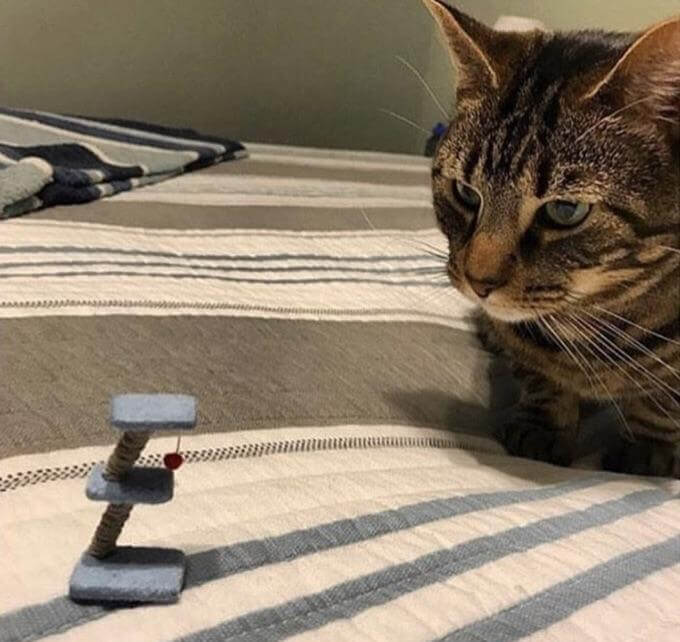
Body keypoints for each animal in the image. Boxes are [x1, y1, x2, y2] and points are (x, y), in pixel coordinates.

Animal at [422, 0, 680, 477]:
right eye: (466, 193)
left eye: (565, 211)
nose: (479, 283)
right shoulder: (528, 345)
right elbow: (540, 375)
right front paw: (542, 426)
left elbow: (662, 400)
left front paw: (648, 450)